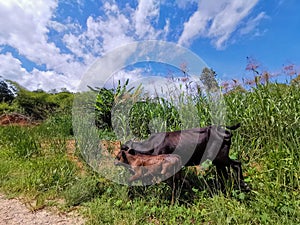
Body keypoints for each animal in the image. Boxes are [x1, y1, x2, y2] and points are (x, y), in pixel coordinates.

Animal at [120, 123, 250, 192]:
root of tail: (223, 129)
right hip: (218, 161)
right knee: (224, 174)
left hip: (220, 157)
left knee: (237, 164)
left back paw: (244, 186)